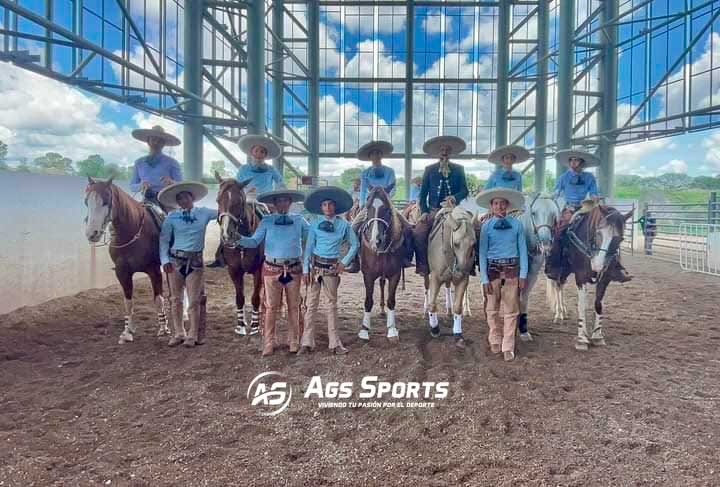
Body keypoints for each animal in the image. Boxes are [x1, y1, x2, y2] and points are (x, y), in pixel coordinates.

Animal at [83, 177, 169, 346]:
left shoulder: (154, 271)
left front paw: (163, 329)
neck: (132, 231)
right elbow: (128, 303)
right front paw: (127, 331)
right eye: (86, 201)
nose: (92, 234)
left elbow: (158, 300)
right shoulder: (122, 273)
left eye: (106, 201)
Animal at [217, 173, 268, 338]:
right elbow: (240, 298)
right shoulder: (234, 270)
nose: (227, 234)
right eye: (218, 200)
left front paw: (255, 325)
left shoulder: (259, 270)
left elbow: (255, 298)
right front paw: (240, 325)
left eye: (238, 201)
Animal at [358, 186, 414, 344]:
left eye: (388, 210)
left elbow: (391, 301)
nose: (376, 240)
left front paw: (392, 330)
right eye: (368, 208)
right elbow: (368, 301)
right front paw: (364, 330)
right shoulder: (368, 275)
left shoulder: (395, 274)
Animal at [424, 204, 476, 348]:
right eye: (456, 244)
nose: (460, 271)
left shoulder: (463, 279)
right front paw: (435, 329)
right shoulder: (435, 277)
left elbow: (458, 307)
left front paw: (458, 334)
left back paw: (452, 309)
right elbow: (432, 304)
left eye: (473, 244)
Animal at [548, 205, 632, 350]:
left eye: (620, 239)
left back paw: (563, 312)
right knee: (557, 286)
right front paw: (581, 339)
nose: (597, 265)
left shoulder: (604, 278)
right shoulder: (580, 277)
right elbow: (582, 305)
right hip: (559, 270)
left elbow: (598, 304)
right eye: (598, 233)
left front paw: (597, 336)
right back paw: (558, 314)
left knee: (561, 285)